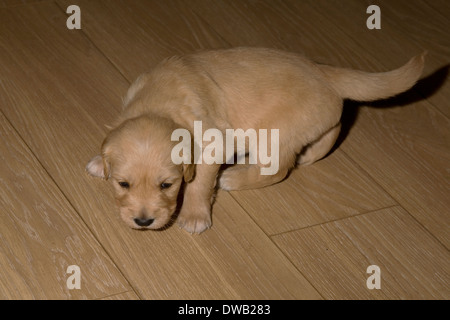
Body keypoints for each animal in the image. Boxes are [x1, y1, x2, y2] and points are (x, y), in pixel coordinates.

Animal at [87, 47, 426, 232]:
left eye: (166, 186)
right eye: (123, 184)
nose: (143, 221)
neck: (158, 104)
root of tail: (324, 72)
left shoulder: (214, 143)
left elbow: (199, 183)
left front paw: (194, 215)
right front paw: (97, 162)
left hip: (273, 135)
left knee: (279, 169)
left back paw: (235, 177)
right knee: (335, 124)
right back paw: (311, 153)